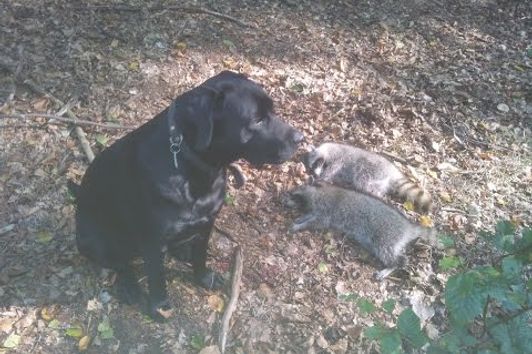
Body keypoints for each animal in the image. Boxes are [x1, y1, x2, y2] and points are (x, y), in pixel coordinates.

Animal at [71, 71, 304, 318]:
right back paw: (130, 287)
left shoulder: (208, 222)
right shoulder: (152, 242)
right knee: (121, 263)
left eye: (273, 110)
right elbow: (157, 278)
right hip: (96, 241)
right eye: (257, 120)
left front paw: (202, 278)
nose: (301, 138)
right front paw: (160, 307)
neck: (197, 168)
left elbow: (200, 255)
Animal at [290, 183, 436, 280]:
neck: (317, 193)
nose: (285, 201)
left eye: (291, 195)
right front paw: (302, 218)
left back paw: (394, 265)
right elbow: (312, 216)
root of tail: (408, 225)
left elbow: (318, 222)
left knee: (390, 253)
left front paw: (301, 225)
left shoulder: (327, 210)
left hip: (387, 235)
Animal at [304, 142, 432, 213]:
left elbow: (332, 170)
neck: (327, 150)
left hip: (372, 171)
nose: (315, 173)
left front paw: (322, 177)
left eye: (316, 163)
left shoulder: (339, 158)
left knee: (364, 183)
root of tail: (392, 170)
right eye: (311, 167)